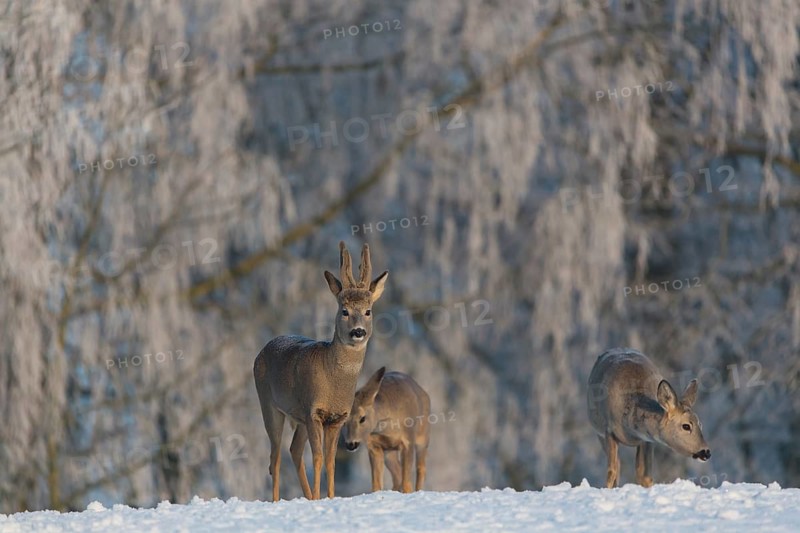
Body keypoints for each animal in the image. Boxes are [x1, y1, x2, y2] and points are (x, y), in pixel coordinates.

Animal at [253, 241, 388, 501]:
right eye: (344, 310)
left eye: (368, 311)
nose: (358, 332)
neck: (334, 381)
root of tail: (262, 351)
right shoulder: (313, 411)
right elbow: (316, 458)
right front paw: (319, 498)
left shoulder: (336, 418)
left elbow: (330, 460)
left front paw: (330, 498)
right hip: (269, 404)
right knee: (275, 457)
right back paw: (277, 500)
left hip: (298, 416)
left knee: (294, 450)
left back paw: (306, 496)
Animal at [587, 347, 711, 488]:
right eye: (686, 426)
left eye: (700, 424)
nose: (706, 452)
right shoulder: (608, 431)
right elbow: (611, 471)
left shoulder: (647, 440)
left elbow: (645, 476)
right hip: (599, 433)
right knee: (617, 465)